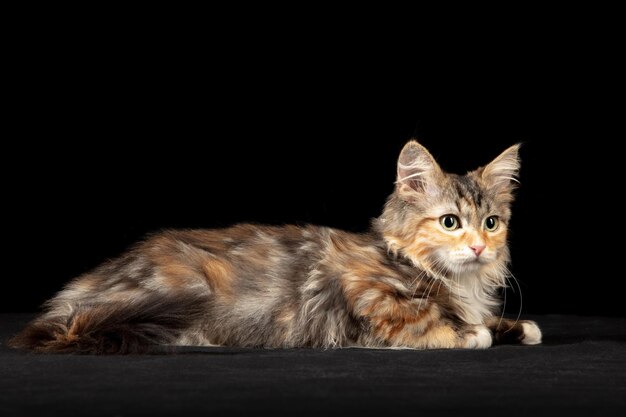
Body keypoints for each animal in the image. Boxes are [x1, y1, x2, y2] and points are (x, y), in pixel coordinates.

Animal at [7, 141, 540, 352]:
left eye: (491, 223)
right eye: (450, 223)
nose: (479, 248)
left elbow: (484, 316)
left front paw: (515, 326)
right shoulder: (370, 298)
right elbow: (433, 321)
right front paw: (474, 333)